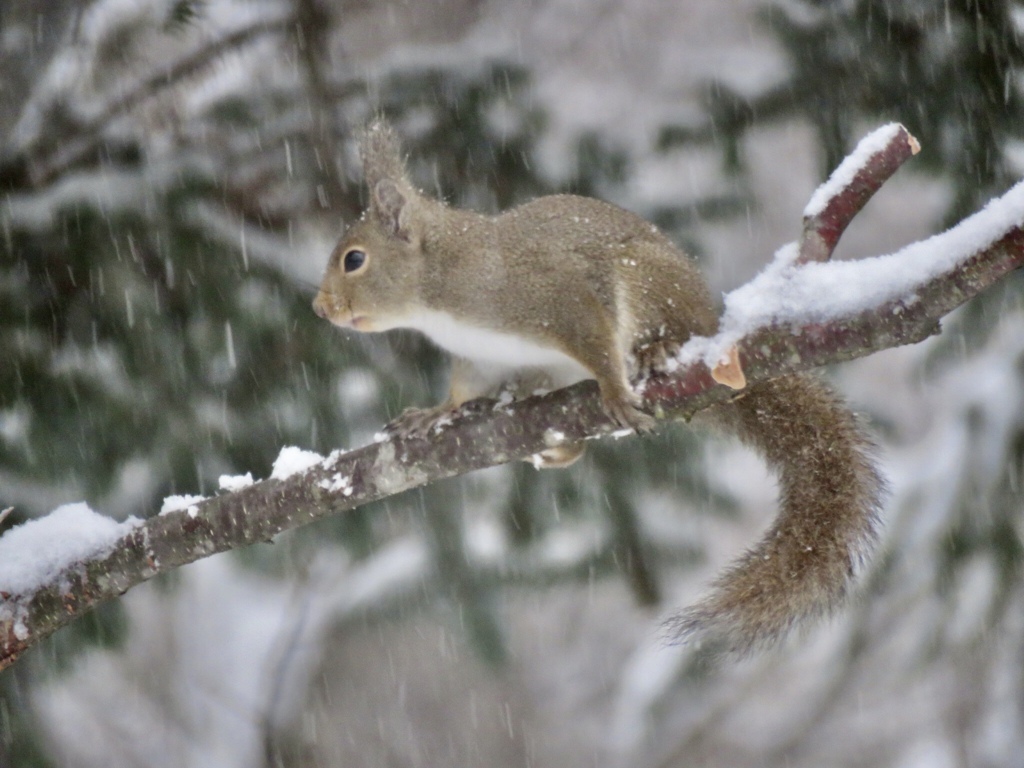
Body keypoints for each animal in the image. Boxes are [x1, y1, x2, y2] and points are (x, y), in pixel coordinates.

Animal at [311, 120, 880, 655]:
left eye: (354, 259)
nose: (319, 309)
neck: (440, 285)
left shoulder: (555, 298)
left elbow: (595, 340)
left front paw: (613, 387)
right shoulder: (479, 357)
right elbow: (462, 389)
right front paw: (432, 412)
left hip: (648, 284)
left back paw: (651, 352)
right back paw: (556, 443)